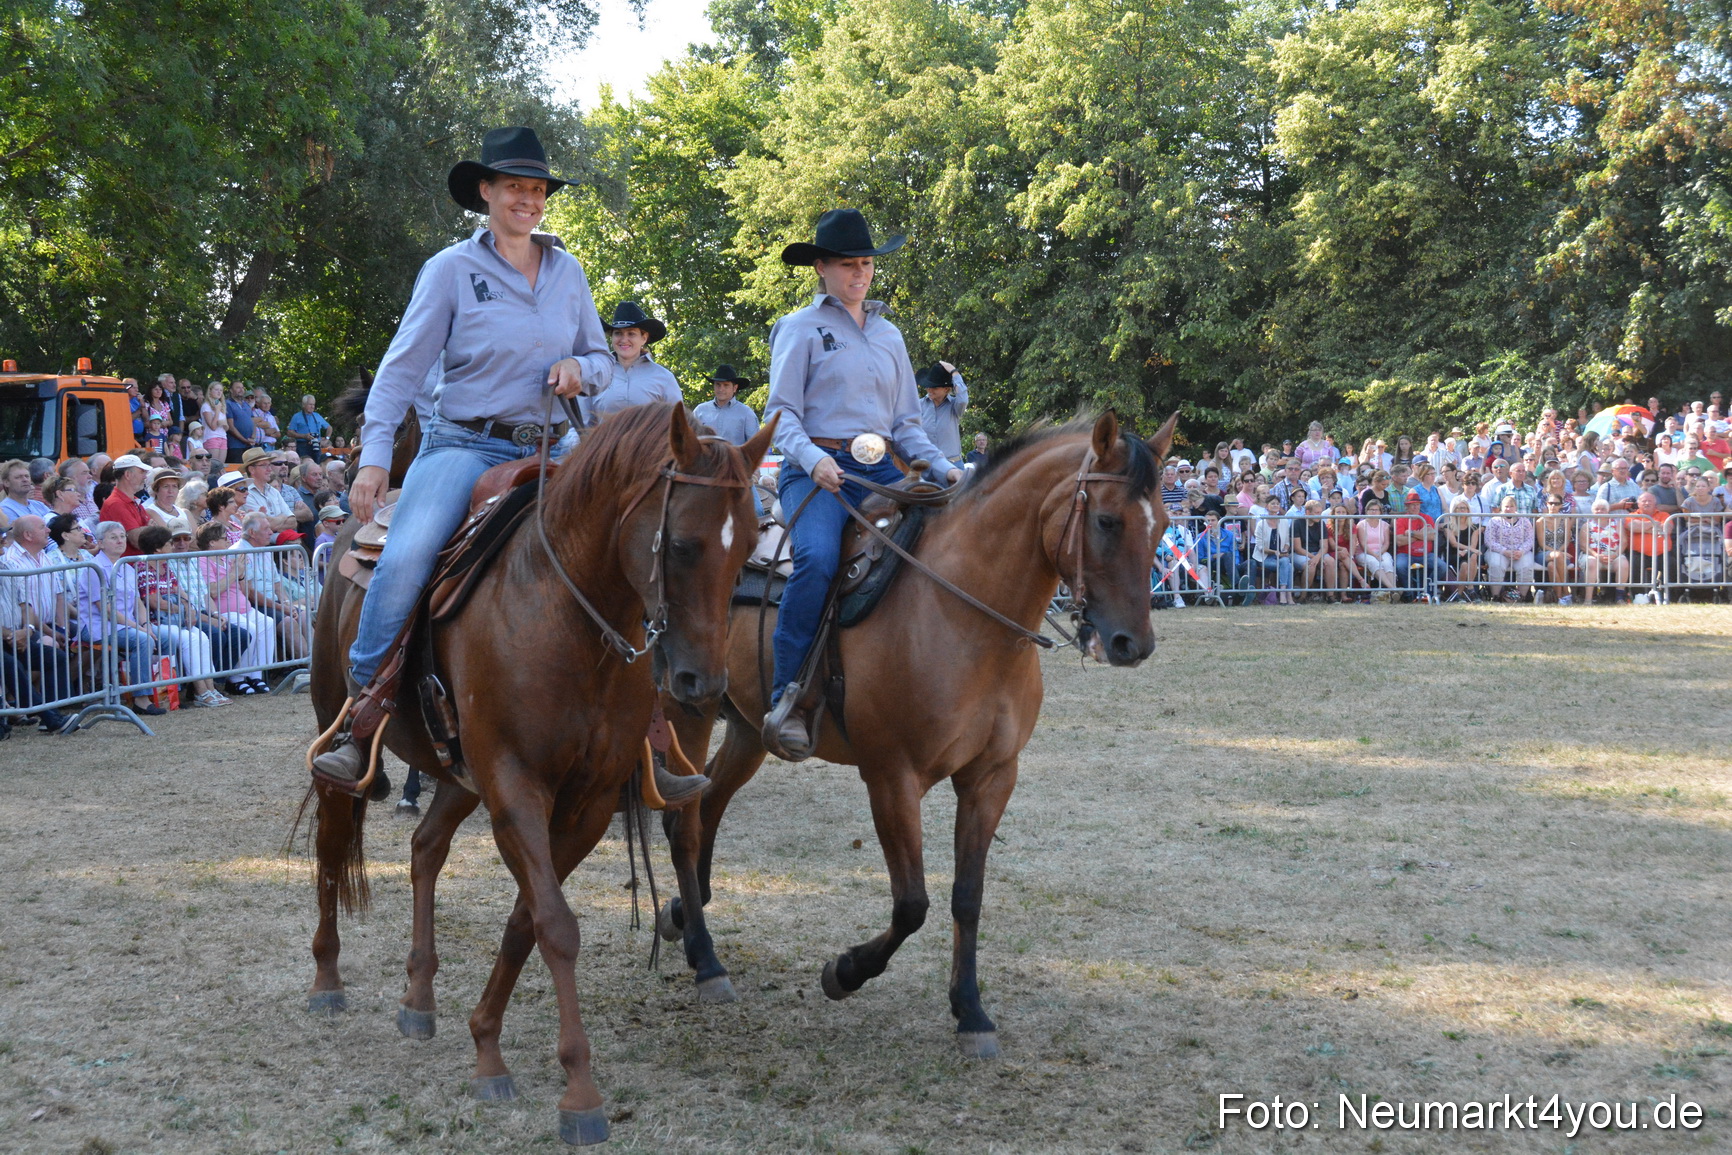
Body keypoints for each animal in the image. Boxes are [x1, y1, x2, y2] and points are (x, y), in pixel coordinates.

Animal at [302, 401, 778, 1145]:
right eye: (681, 543)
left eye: (750, 542)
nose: (702, 684)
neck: (563, 615)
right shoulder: (516, 786)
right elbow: (556, 923)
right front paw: (578, 1091)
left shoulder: (584, 802)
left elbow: (528, 920)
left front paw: (485, 1042)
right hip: (341, 730)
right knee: (330, 843)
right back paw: (327, 978)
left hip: (458, 776)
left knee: (425, 849)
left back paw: (419, 994)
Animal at [657, 410, 1177, 1058]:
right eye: (1107, 520)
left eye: (1163, 527)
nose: (1134, 644)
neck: (962, 615)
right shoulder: (891, 778)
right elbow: (912, 904)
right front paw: (844, 972)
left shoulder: (991, 778)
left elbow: (966, 897)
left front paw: (971, 1011)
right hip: (688, 707)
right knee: (682, 823)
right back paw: (707, 961)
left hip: (750, 731)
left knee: (709, 807)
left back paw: (684, 914)